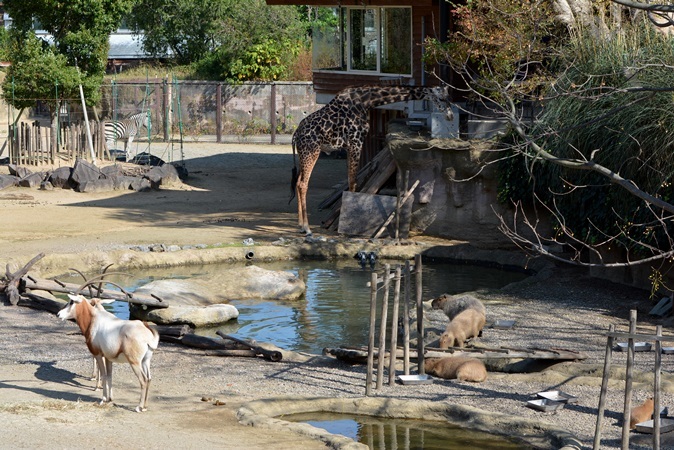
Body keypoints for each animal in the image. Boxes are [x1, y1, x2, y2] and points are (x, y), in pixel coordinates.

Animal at [288, 85, 452, 237]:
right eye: (442, 98)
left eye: (448, 96)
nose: (450, 115)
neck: (366, 101)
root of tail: (295, 134)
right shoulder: (355, 142)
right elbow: (353, 181)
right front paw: (349, 222)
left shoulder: (351, 145)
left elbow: (351, 180)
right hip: (311, 151)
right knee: (303, 184)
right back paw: (307, 228)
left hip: (303, 154)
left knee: (297, 182)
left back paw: (301, 226)